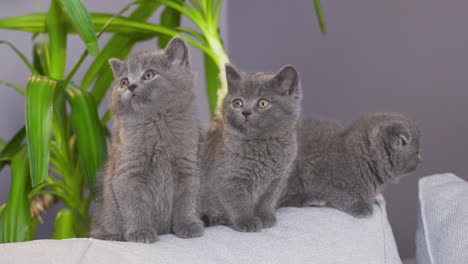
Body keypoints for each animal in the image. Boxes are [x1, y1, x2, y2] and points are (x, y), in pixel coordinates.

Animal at [89, 36, 203, 242]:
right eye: (123, 82)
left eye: (149, 75)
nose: (131, 86)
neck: (156, 123)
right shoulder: (128, 171)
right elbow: (134, 205)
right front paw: (140, 232)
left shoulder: (188, 166)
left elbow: (187, 199)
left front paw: (188, 225)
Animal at [201, 63, 304, 232]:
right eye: (237, 103)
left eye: (263, 103)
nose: (245, 112)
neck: (261, 144)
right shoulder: (228, 178)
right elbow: (237, 202)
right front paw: (247, 221)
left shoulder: (277, 180)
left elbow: (267, 200)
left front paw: (265, 217)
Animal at [280, 112, 422, 218]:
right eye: (417, 152)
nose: (421, 160)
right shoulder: (317, 176)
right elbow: (338, 194)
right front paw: (360, 206)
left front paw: (373, 199)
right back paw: (311, 199)